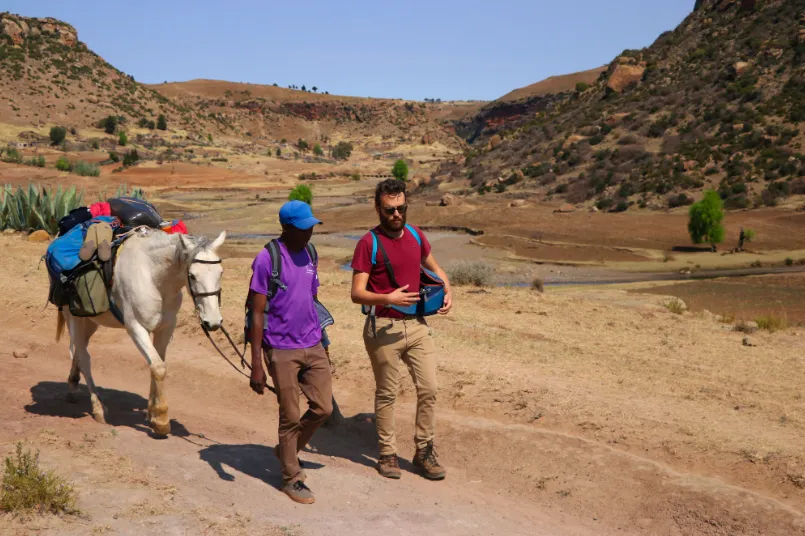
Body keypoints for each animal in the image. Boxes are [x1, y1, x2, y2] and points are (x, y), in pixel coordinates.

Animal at [55, 228, 226, 438]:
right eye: (192, 275)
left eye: (220, 273)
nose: (213, 322)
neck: (154, 278)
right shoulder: (136, 327)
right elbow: (158, 367)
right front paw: (161, 420)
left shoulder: (165, 328)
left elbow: (158, 364)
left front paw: (152, 414)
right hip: (75, 318)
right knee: (82, 355)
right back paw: (98, 408)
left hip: (90, 322)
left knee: (78, 352)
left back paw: (73, 385)